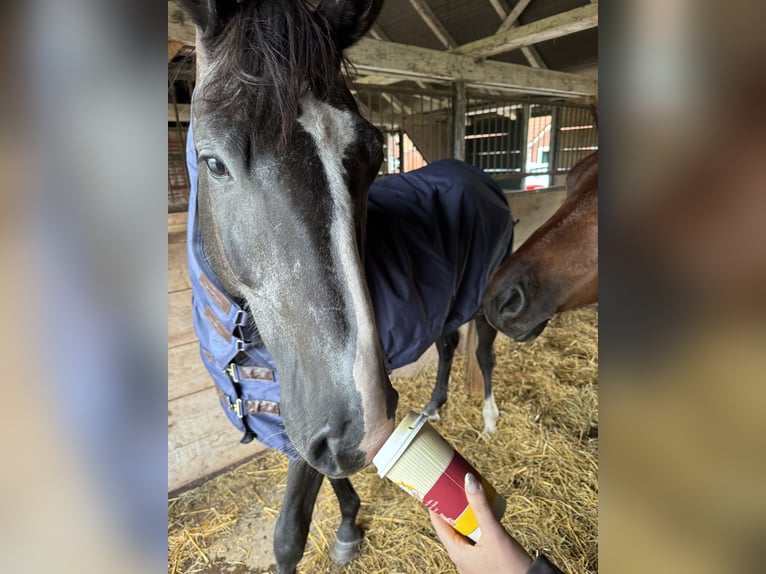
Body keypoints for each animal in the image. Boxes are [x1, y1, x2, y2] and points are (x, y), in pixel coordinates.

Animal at [180, 2, 512, 572]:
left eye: (376, 153)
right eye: (214, 162)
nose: (364, 422)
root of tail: (480, 176)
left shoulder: (304, 427)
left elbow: (289, 534)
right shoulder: (302, 430)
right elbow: (334, 473)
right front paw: (349, 526)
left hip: (483, 296)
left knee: (483, 352)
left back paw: (488, 419)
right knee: (448, 344)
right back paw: (434, 407)